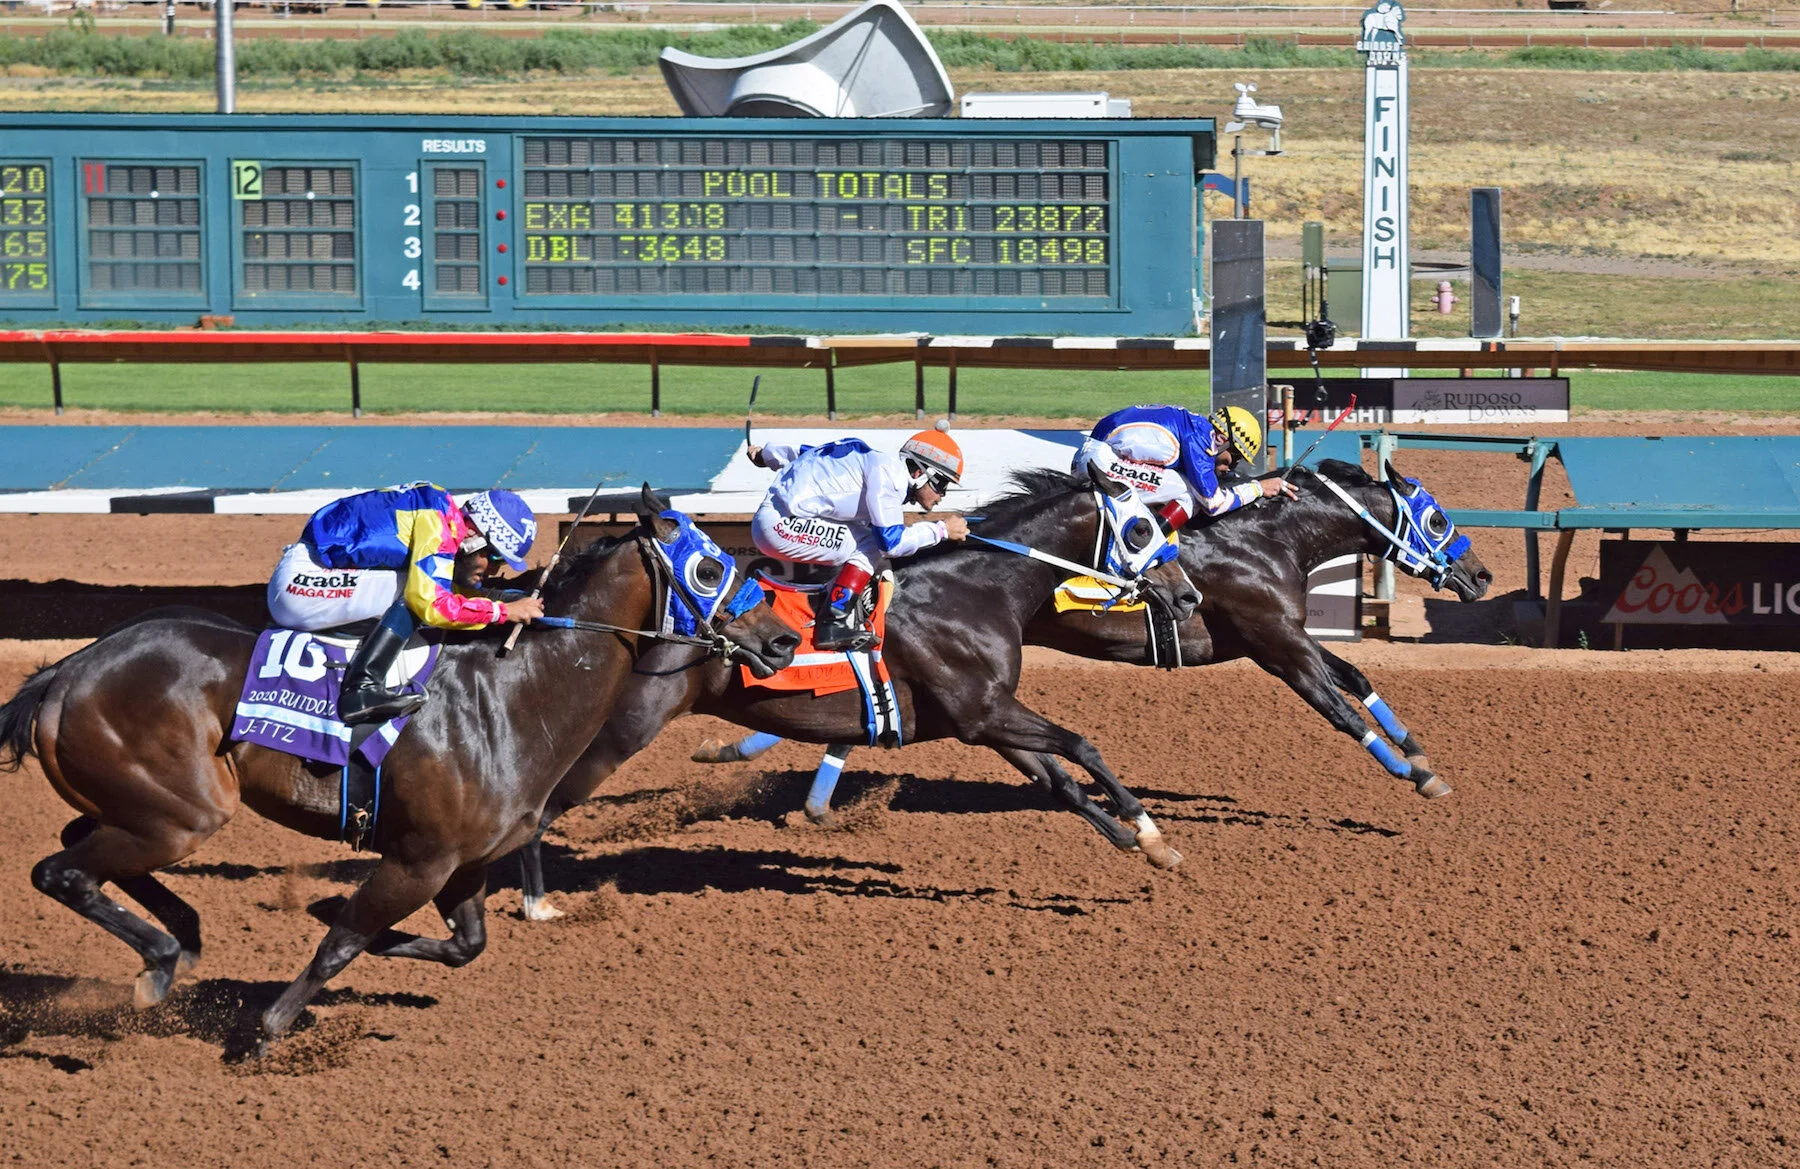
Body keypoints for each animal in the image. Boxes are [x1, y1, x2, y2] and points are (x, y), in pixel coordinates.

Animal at [0, 490, 799, 1047]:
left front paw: (339, 923)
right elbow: (340, 943)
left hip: (148, 808)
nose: (785, 639)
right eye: (710, 566)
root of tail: (69, 669)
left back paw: (179, 942)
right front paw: (265, 1032)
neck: (514, 695)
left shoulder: (466, 864)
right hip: (184, 814)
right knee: (59, 870)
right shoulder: (419, 858)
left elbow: (463, 945)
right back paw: (163, 958)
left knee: (81, 848)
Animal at [510, 465, 1205, 919]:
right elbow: (1082, 747)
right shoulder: (985, 712)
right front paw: (1147, 828)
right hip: (622, 728)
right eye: (1141, 530)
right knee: (541, 807)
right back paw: (534, 901)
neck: (978, 588)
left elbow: (1059, 782)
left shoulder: (984, 718)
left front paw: (1138, 843)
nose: (1188, 596)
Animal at [692, 457, 1493, 816]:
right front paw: (1409, 771)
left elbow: (1356, 680)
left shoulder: (1283, 636)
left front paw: (1420, 755)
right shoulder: (1276, 645)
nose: (1482, 574)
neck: (1263, 539)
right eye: (1438, 516)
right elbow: (1336, 706)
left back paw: (763, 764)